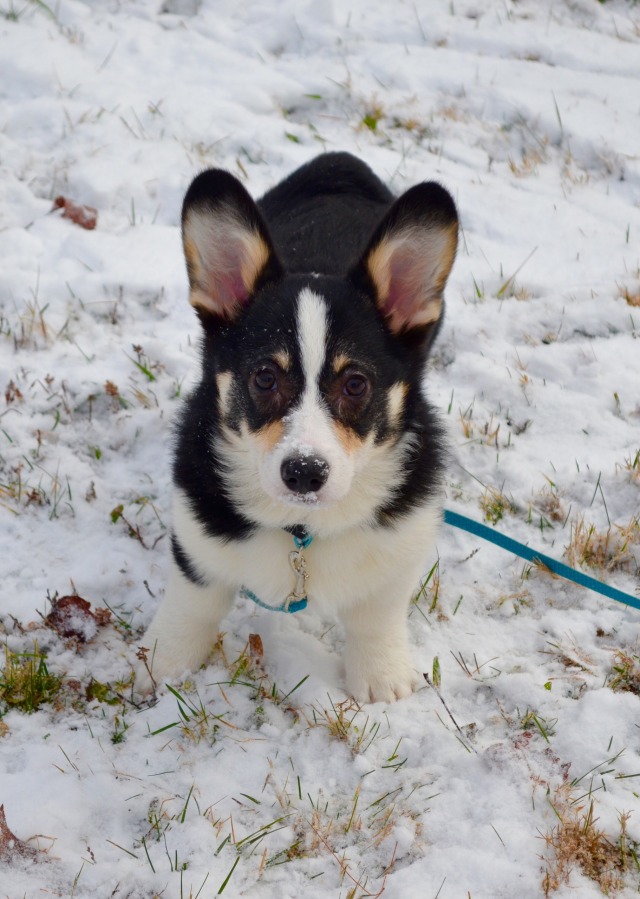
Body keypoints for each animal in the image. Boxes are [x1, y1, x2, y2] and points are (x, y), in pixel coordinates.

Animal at [139, 153, 460, 704]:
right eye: (265, 377)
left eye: (355, 383)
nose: (305, 473)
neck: (301, 529)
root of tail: (339, 161)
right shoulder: (197, 533)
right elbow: (194, 600)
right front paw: (166, 663)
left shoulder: (403, 542)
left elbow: (378, 612)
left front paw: (382, 679)